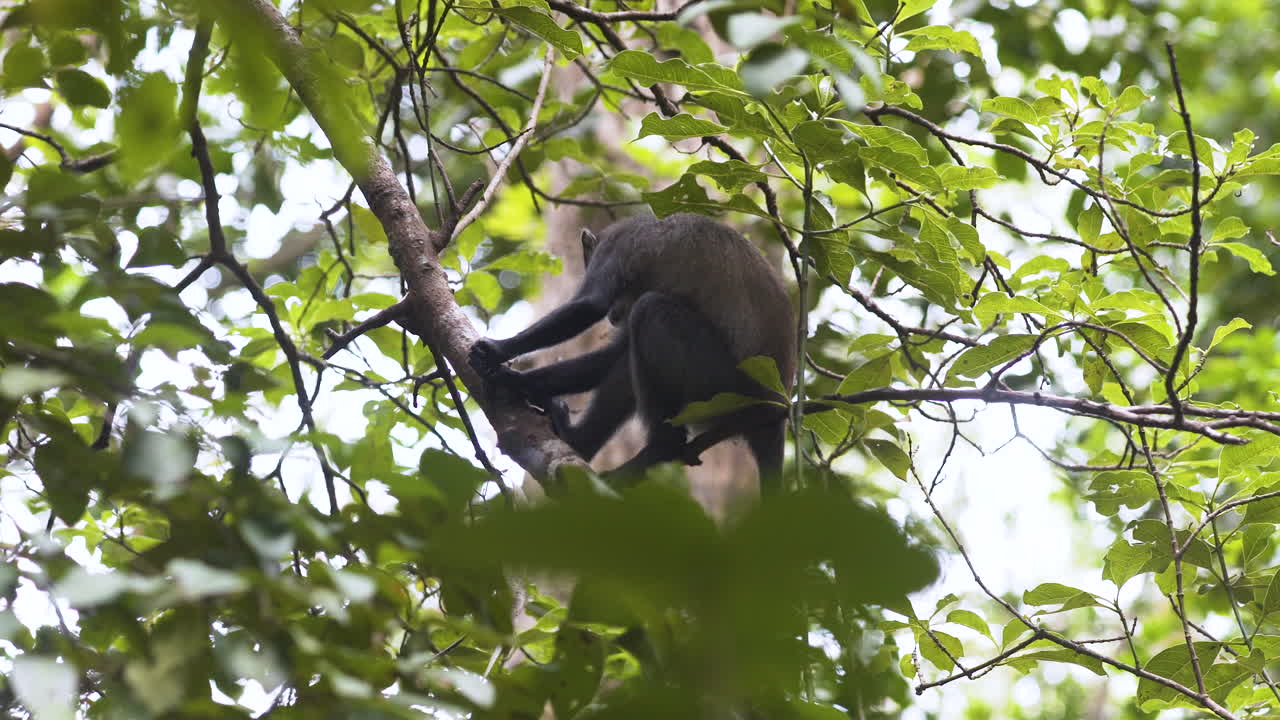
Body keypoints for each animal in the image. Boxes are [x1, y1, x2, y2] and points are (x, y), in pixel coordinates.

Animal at [468, 213, 796, 488]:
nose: (615, 314)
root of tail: (776, 409)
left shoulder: (615, 247)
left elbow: (590, 305)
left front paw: (498, 352)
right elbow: (612, 356)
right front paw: (519, 382)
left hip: (724, 386)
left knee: (650, 312)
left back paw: (661, 448)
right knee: (627, 362)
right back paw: (579, 442)